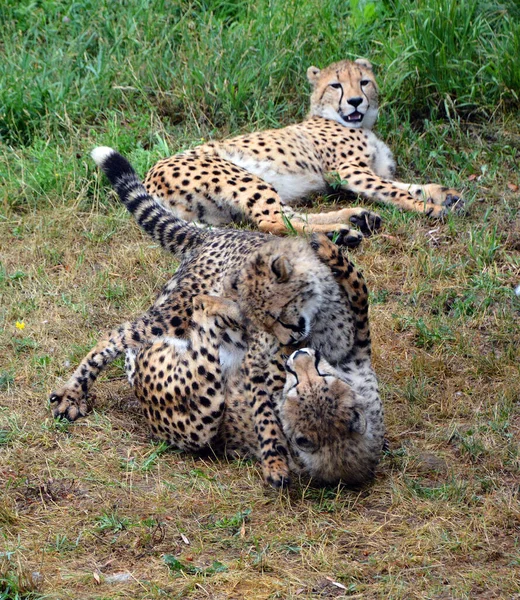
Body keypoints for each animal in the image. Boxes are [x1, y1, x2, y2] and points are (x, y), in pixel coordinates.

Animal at [50, 149, 384, 488]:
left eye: (279, 313)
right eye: (266, 321)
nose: (293, 343)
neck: (317, 316)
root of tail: (214, 233)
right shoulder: (259, 363)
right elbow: (265, 412)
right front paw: (275, 462)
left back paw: (348, 226)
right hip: (174, 318)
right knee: (121, 334)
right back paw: (72, 393)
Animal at [143, 56, 464, 244]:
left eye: (364, 82)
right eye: (336, 85)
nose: (356, 102)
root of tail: (149, 177)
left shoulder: (368, 171)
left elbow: (406, 185)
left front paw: (444, 194)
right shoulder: (348, 171)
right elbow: (395, 191)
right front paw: (431, 208)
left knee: (288, 216)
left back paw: (354, 220)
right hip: (242, 177)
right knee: (272, 222)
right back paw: (340, 232)